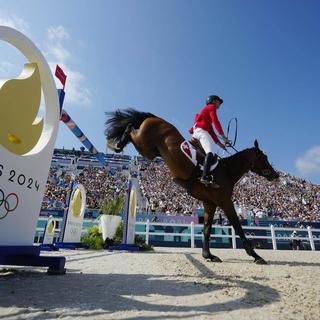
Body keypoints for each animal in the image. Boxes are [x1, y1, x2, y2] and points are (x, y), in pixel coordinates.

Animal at [104, 109, 278, 264]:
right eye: (263, 157)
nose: (275, 175)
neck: (227, 171)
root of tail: (154, 118)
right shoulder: (225, 202)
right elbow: (238, 227)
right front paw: (255, 255)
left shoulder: (210, 204)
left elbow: (207, 229)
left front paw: (208, 255)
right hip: (144, 145)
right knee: (130, 129)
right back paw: (117, 144)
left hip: (151, 151)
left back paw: (117, 144)